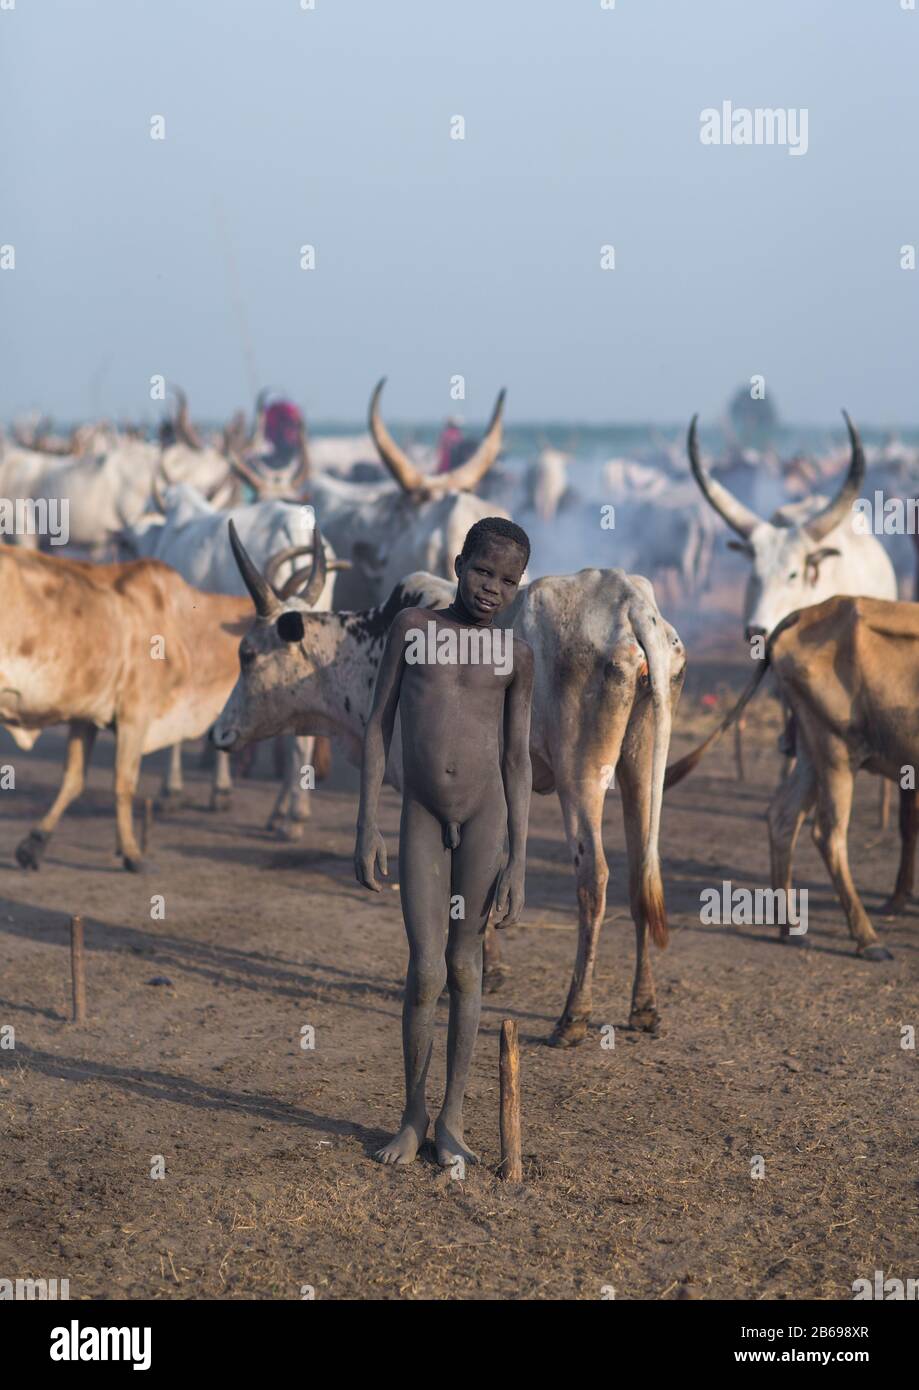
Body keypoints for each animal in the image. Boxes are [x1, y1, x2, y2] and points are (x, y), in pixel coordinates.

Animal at [215, 525, 684, 1045]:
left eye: (247, 654)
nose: (219, 734)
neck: (362, 649)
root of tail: (630, 603)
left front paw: (488, 969)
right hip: (641, 765)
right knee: (642, 871)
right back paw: (644, 1007)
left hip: (579, 775)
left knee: (594, 878)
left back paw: (573, 1016)